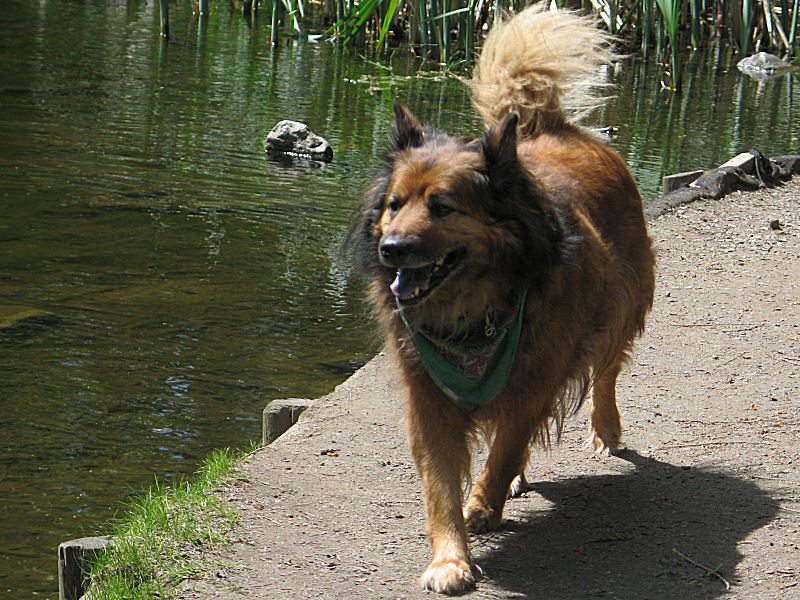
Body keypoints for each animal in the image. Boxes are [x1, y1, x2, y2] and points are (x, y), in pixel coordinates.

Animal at [350, 4, 656, 596]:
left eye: (442, 207)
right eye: (395, 204)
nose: (390, 249)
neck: (473, 312)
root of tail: (547, 125)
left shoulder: (536, 376)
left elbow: (509, 441)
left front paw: (484, 502)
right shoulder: (429, 393)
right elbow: (440, 484)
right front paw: (449, 558)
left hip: (621, 306)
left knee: (608, 370)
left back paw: (605, 429)